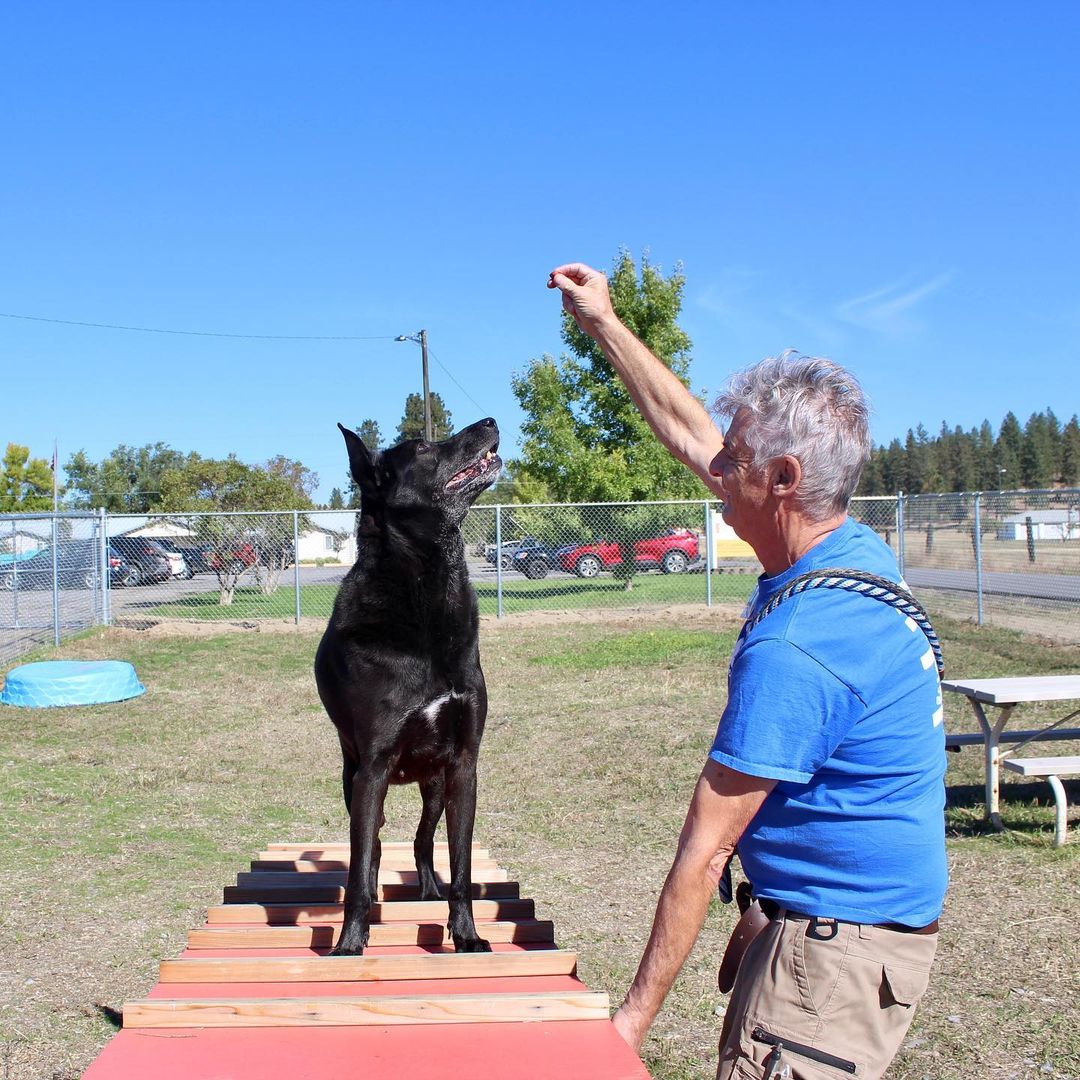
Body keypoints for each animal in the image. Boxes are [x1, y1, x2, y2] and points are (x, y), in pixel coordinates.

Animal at [311, 419, 498, 954]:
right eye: (422, 448)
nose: (491, 423)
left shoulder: (464, 766)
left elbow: (461, 865)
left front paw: (466, 936)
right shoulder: (372, 769)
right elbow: (358, 868)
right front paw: (349, 944)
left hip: (433, 784)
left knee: (421, 841)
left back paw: (429, 890)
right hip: (354, 780)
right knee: (372, 846)